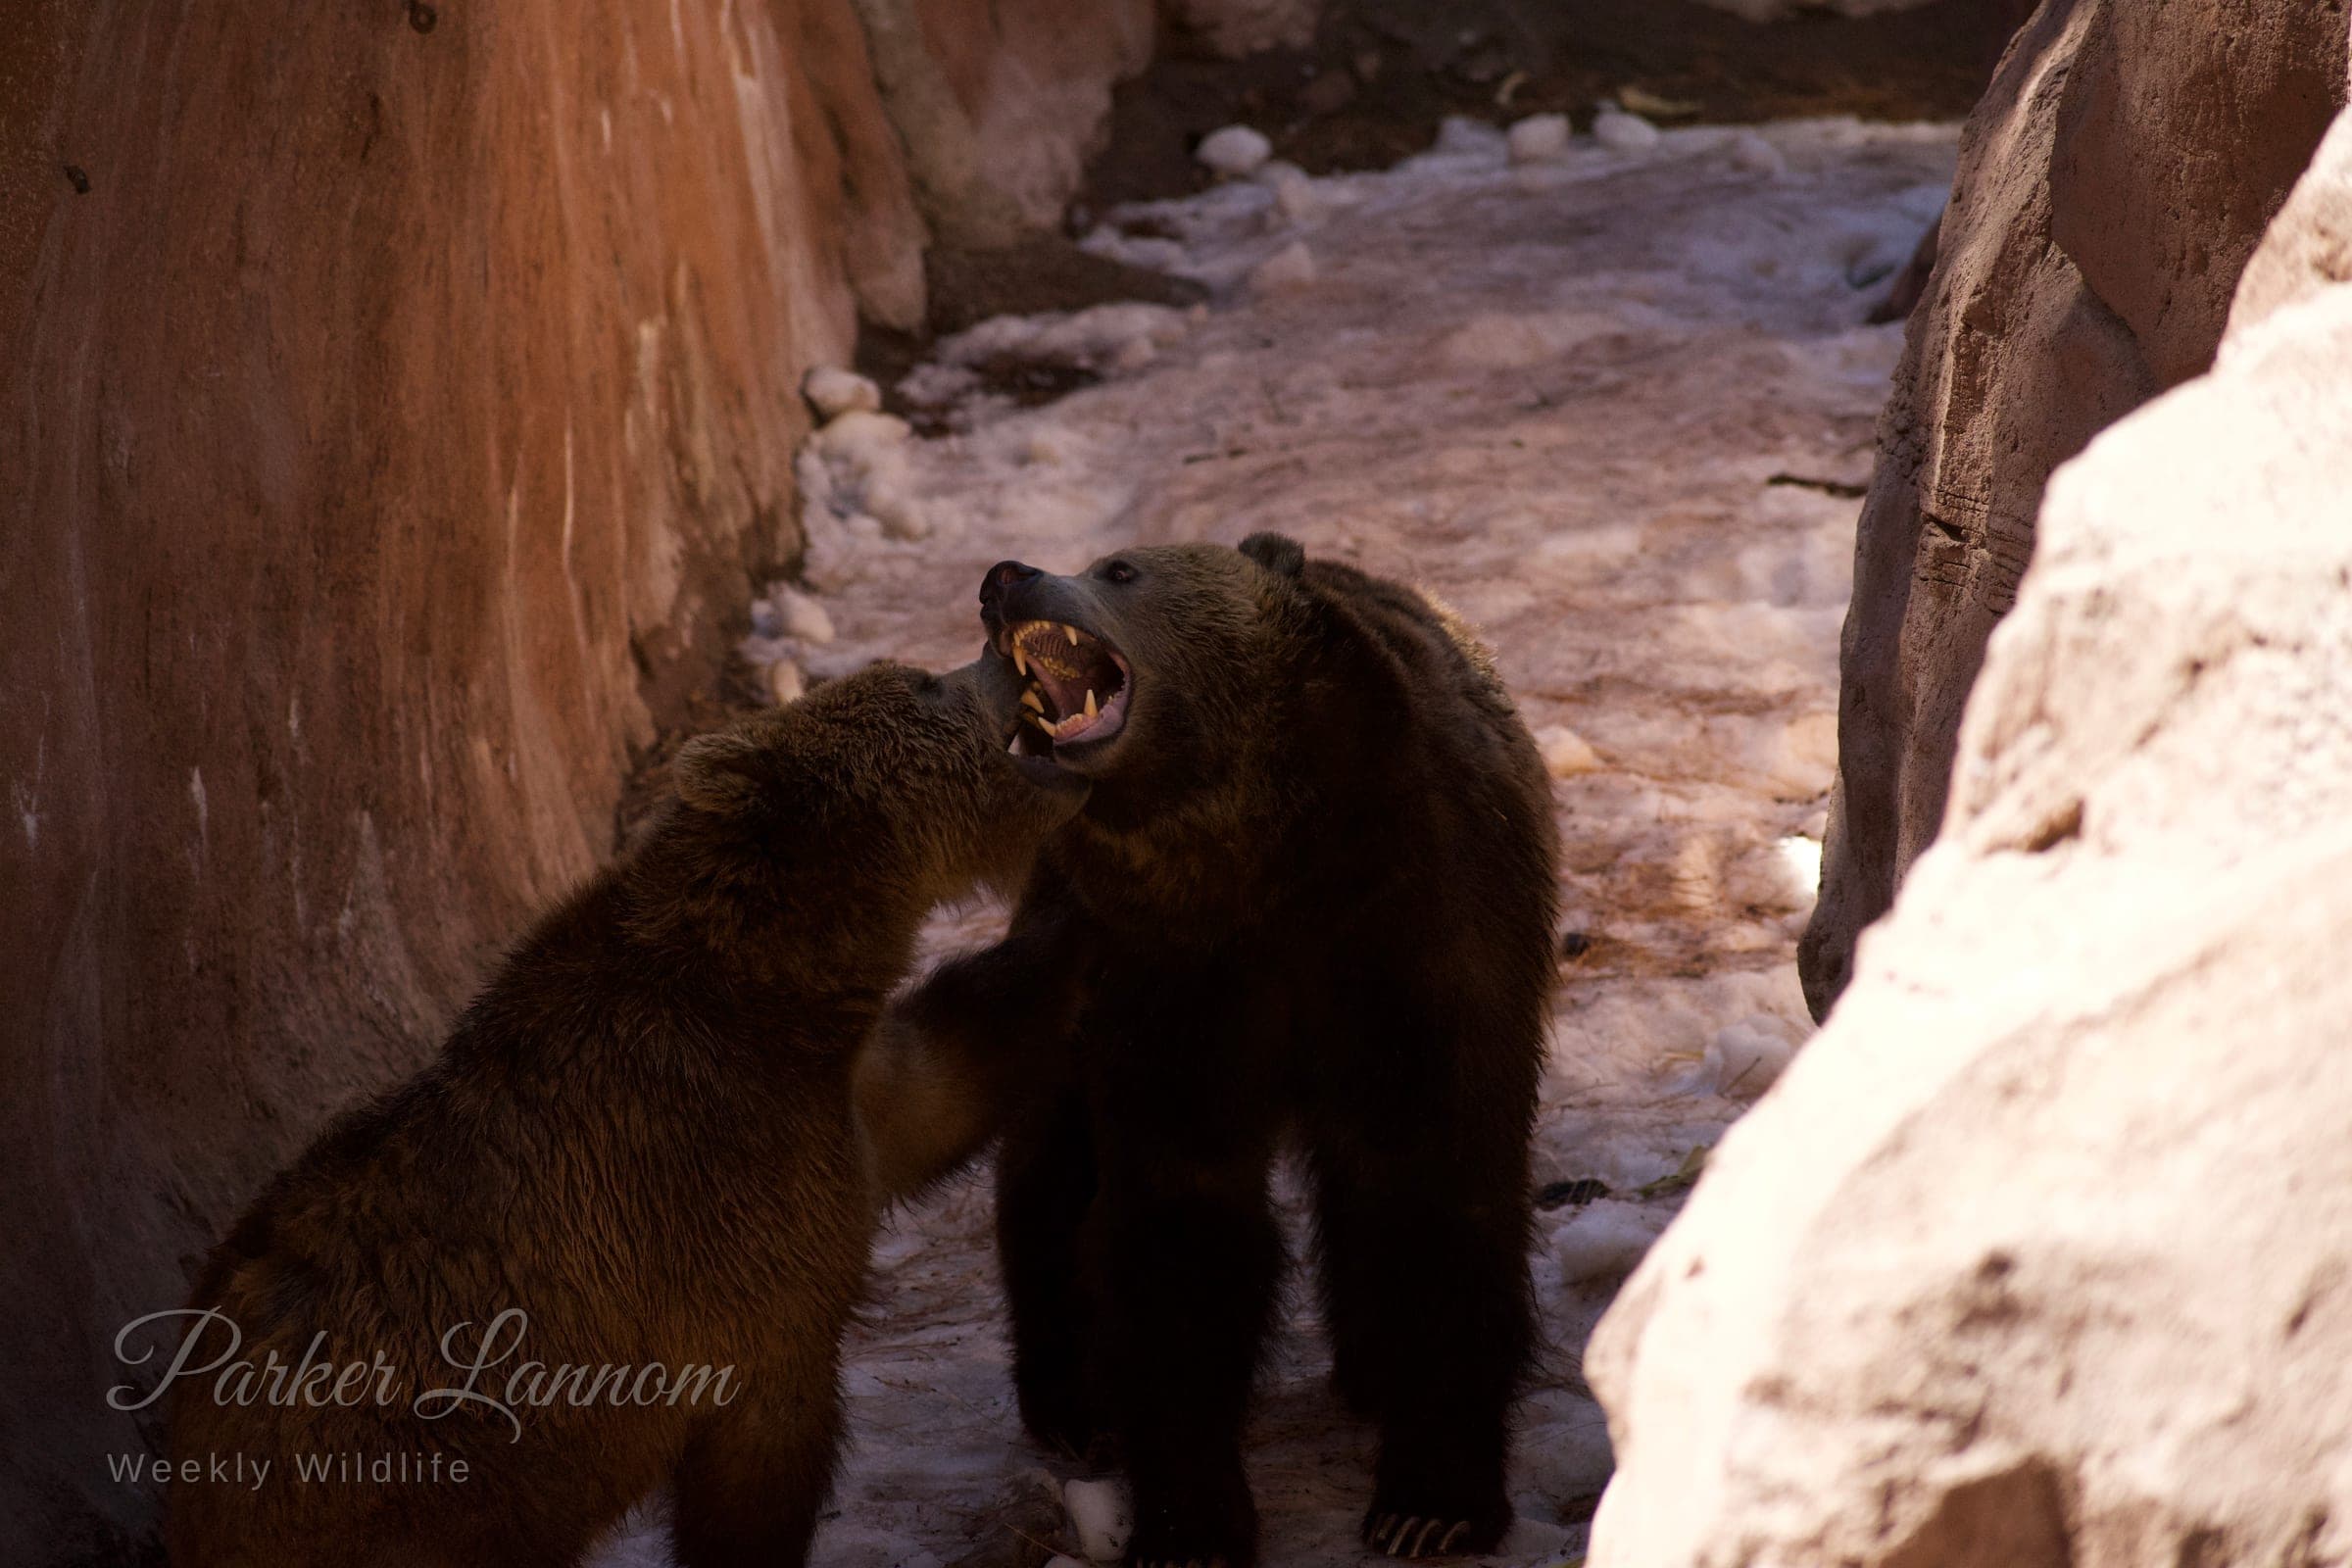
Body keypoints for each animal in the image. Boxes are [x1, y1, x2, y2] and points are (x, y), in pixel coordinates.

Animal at [158, 654, 1087, 1568]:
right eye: (921, 682)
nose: (998, 658)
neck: (776, 982)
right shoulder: (722, 1191)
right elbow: (761, 1454)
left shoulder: (834, 1094)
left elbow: (949, 1074)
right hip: (400, 1489)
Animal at [886, 533, 1561, 1567]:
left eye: (1121, 570)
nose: (1005, 579)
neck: (1264, 859)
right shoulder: (1169, 977)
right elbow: (1179, 1224)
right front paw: (1189, 1522)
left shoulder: (1419, 931)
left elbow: (1430, 1186)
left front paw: (1431, 1502)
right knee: (1049, 1167)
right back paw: (1070, 1399)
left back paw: (1368, 1369)